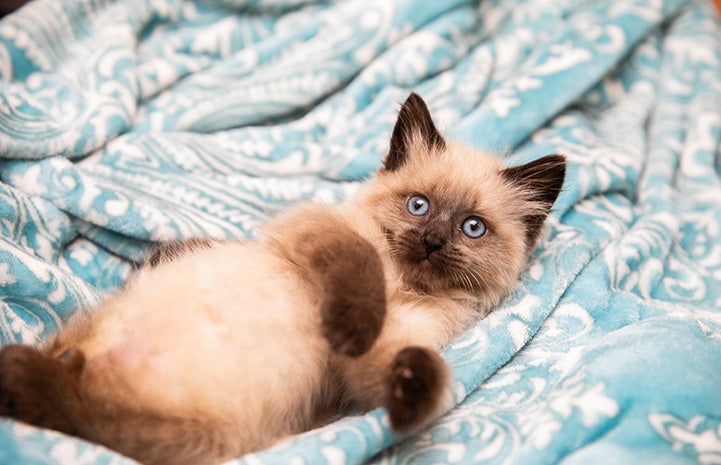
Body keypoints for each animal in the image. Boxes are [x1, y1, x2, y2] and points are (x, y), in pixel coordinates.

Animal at [0, 93, 564, 464]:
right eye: (418, 206)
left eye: (472, 228)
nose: (431, 243)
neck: (399, 284)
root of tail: (81, 354)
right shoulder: (316, 230)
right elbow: (359, 258)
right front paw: (351, 325)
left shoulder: (380, 359)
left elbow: (405, 365)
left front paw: (410, 399)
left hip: (190, 437)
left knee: (84, 418)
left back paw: (30, 378)